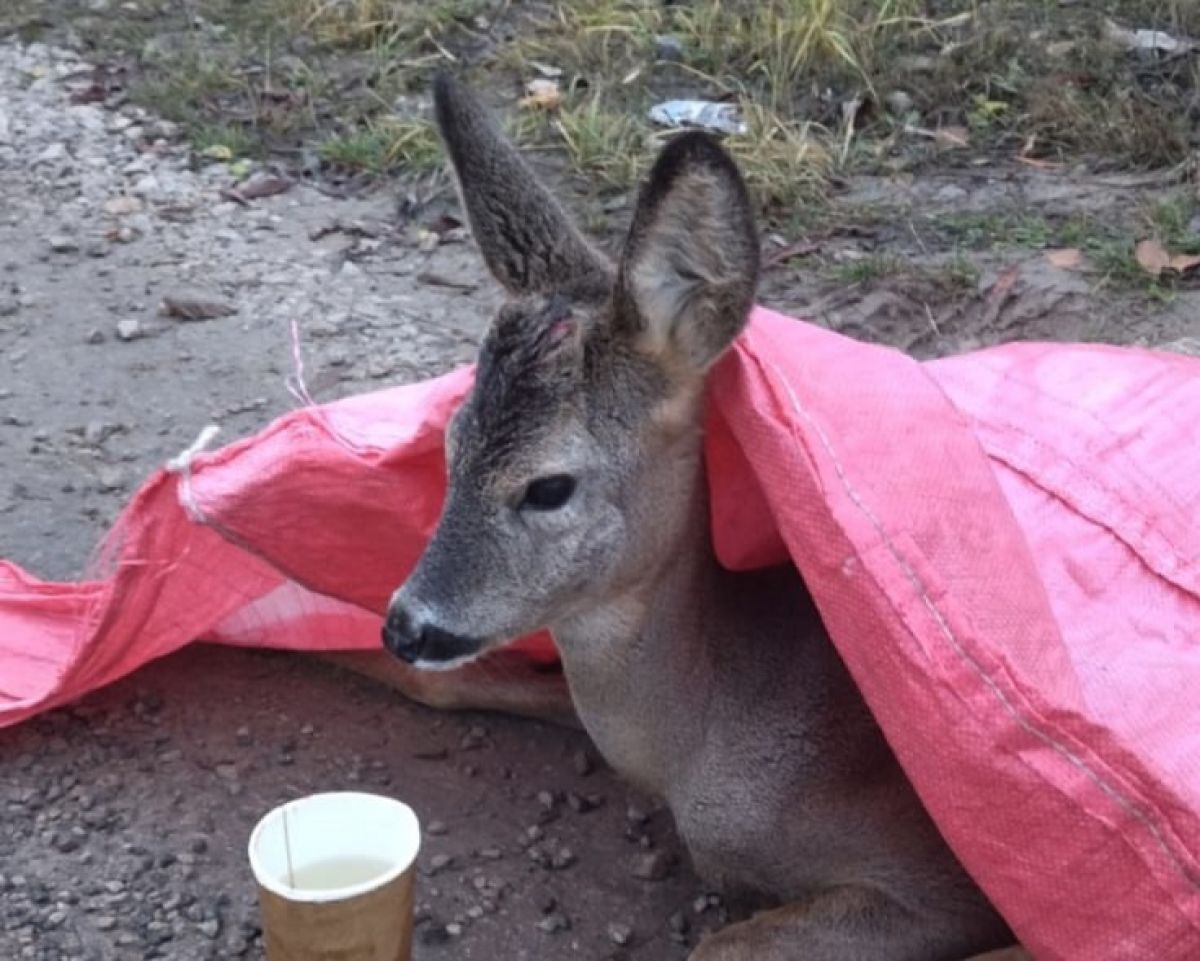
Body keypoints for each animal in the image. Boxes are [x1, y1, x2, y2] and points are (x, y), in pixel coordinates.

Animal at [376, 74, 1022, 959]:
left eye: (548, 486)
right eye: (448, 442)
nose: (404, 623)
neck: (698, 743)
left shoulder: (942, 881)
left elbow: (719, 943)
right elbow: (453, 681)